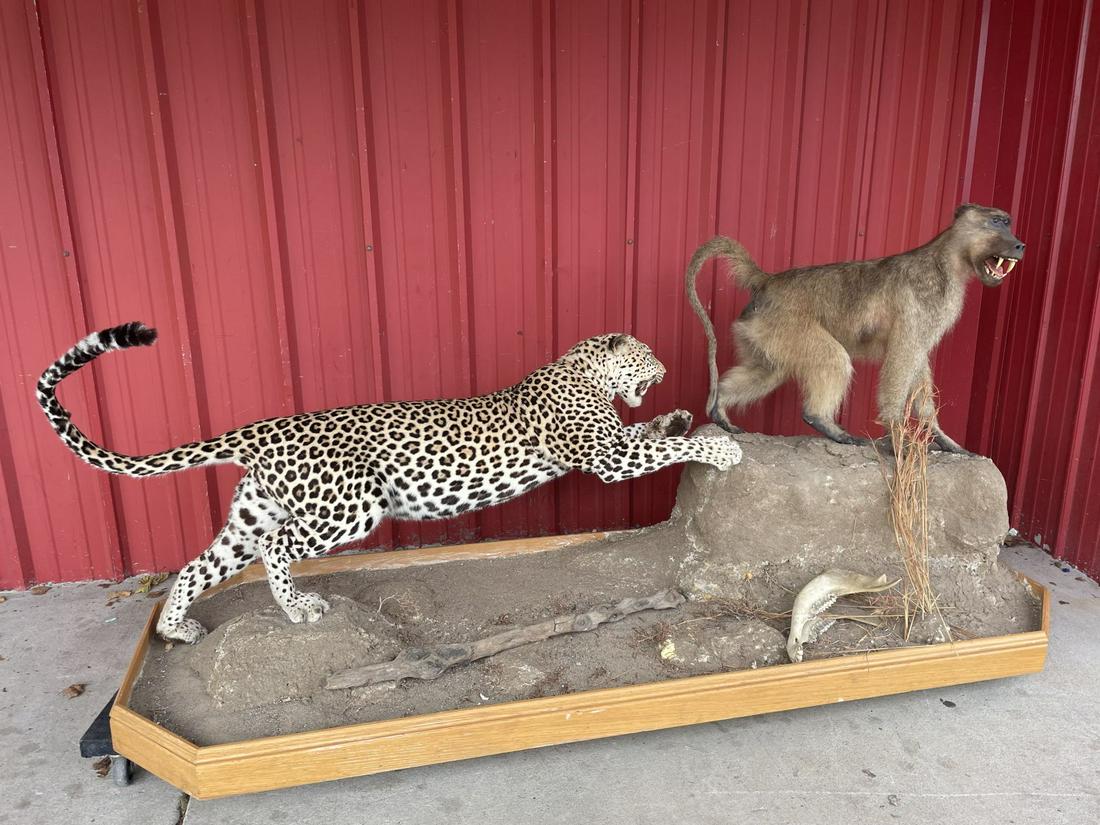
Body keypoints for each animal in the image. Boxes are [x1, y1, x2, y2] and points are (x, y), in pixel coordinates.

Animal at [38, 322, 742, 644]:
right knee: (278, 549)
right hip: (349, 505)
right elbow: (665, 448)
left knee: (199, 564)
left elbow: (654, 431)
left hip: (253, 512)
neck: (580, 369)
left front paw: (678, 415)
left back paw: (177, 628)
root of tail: (263, 428)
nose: (666, 368)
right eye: (649, 354)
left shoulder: (615, 443)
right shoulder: (608, 455)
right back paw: (299, 609)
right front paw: (720, 445)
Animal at [685, 204, 1025, 454]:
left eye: (1007, 223)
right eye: (997, 222)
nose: (1020, 244)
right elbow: (902, 360)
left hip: (765, 332)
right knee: (833, 360)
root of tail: (768, 280)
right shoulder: (917, 311)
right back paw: (826, 423)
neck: (947, 262)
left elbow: (918, 364)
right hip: (787, 326)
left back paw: (720, 409)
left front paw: (942, 437)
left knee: (769, 371)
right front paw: (897, 437)